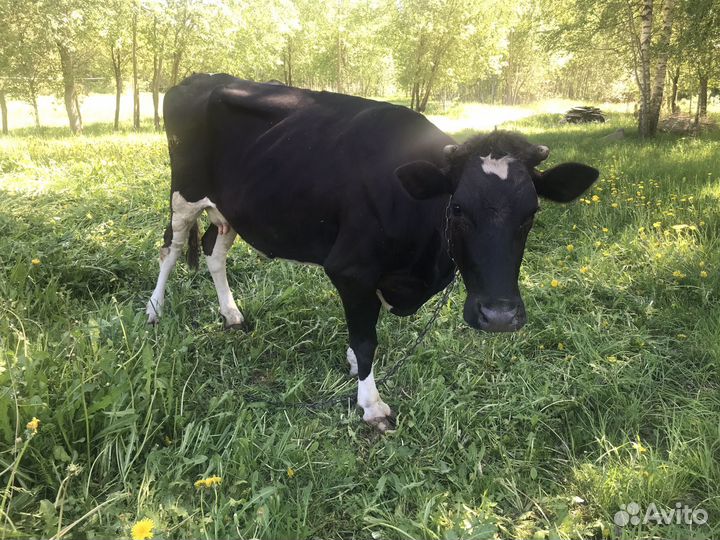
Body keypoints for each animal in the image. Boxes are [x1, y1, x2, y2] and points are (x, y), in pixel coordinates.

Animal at [146, 73, 599, 432]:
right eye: (457, 208)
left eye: (532, 212)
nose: (500, 317)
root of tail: (198, 78)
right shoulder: (350, 269)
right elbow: (367, 339)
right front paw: (371, 404)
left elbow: (361, 331)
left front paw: (352, 364)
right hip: (184, 192)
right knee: (171, 247)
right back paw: (154, 310)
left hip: (232, 208)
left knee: (213, 250)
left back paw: (231, 314)